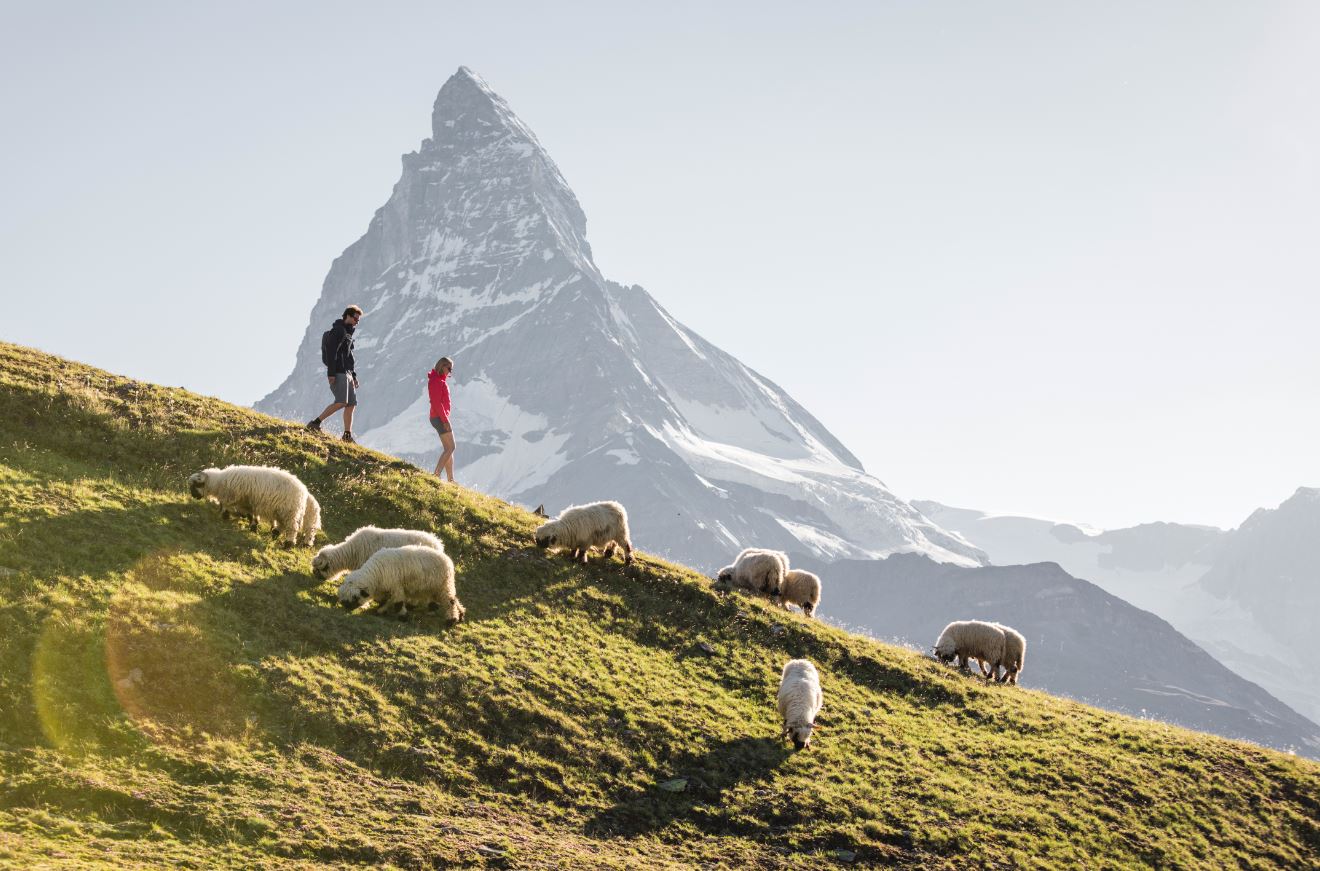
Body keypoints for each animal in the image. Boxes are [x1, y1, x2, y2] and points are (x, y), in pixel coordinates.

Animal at [335, 541, 464, 622]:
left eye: (354, 598)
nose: (346, 609)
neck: (376, 574)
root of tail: (448, 560)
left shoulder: (395, 586)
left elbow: (398, 603)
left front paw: (402, 617)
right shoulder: (386, 587)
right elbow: (385, 600)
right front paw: (381, 610)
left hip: (442, 585)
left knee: (450, 601)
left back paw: (451, 620)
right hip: (435, 588)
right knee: (452, 599)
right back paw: (459, 614)